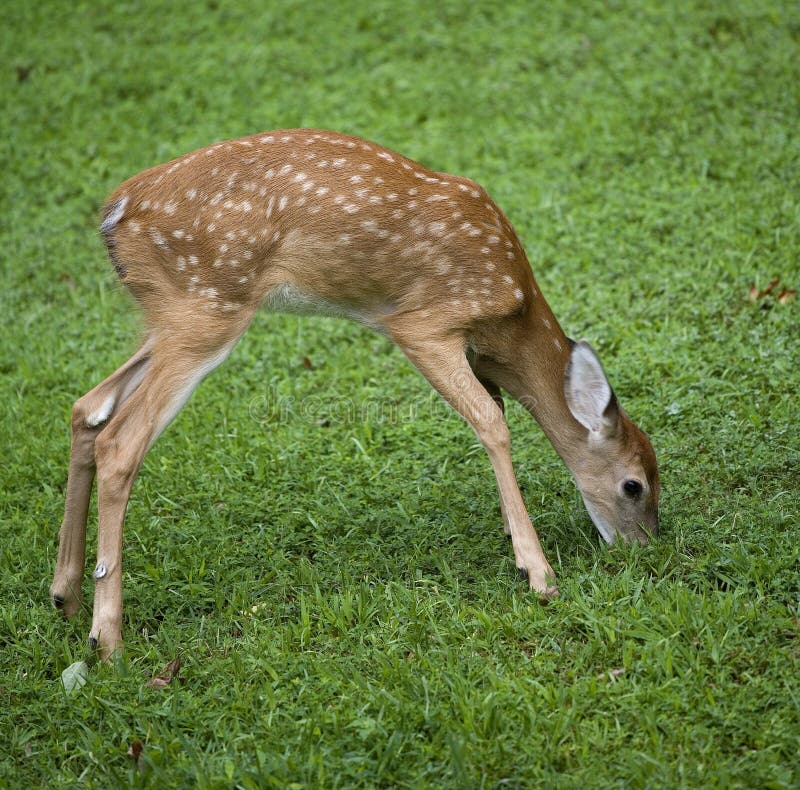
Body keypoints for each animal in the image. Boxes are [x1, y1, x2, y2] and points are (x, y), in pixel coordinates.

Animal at [51, 131, 664, 664]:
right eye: (633, 485)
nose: (643, 550)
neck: (510, 326)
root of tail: (114, 213)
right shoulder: (422, 324)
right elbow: (493, 423)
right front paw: (536, 573)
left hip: (171, 315)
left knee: (87, 408)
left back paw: (66, 596)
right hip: (206, 303)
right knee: (120, 441)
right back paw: (108, 640)